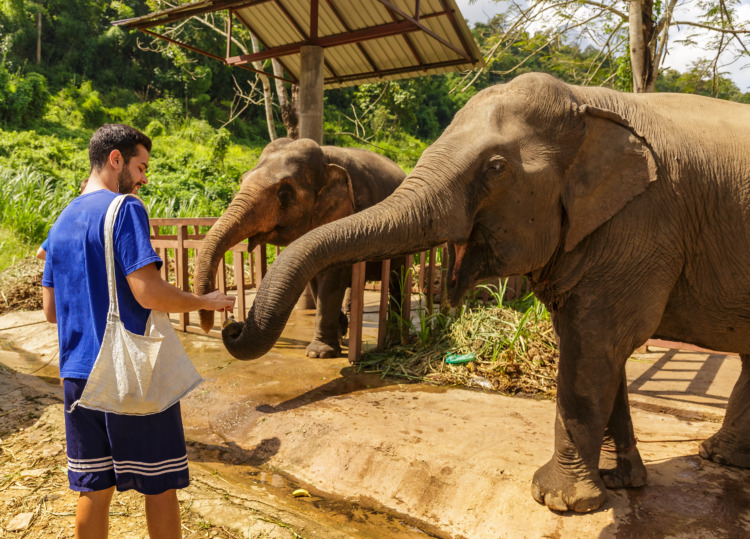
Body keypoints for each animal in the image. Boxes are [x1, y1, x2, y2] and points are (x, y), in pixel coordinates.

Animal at [194, 138, 406, 358]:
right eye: (242, 180)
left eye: (284, 193)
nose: (231, 323)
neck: (326, 157)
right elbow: (314, 276)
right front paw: (338, 333)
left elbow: (333, 275)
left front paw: (319, 353)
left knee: (397, 279)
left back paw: (393, 336)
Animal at [220, 74, 750, 512]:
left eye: (496, 168)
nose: (232, 324)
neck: (589, 101)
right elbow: (596, 344)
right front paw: (617, 483)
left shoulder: (642, 223)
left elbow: (594, 341)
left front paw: (558, 501)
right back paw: (719, 457)